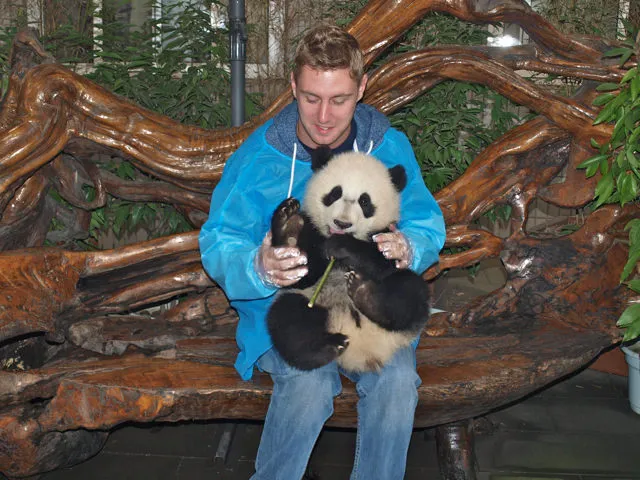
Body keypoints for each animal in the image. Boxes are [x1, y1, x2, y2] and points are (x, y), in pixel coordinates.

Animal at [264, 148, 430, 374]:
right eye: (334, 194)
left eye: (364, 201)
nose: (342, 223)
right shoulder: (314, 236)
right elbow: (302, 273)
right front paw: (289, 226)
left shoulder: (385, 235)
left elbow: (383, 261)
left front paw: (342, 246)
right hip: (312, 302)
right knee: (288, 320)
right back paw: (328, 346)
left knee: (409, 290)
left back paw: (365, 294)